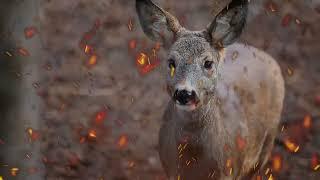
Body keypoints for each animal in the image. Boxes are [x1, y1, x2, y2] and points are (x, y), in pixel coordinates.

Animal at [135, 0, 284, 179]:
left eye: (208, 63)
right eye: (171, 62)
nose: (184, 93)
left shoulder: (231, 170)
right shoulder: (169, 169)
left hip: (266, 143)